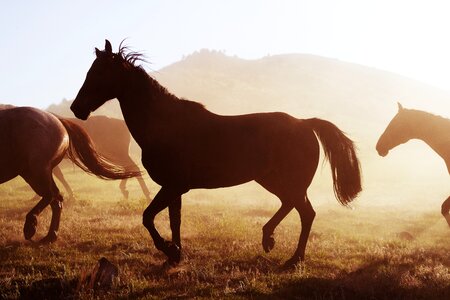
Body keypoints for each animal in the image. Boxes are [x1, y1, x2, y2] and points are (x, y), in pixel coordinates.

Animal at [0, 105, 141, 244]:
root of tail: (58, 120)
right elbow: (61, 177)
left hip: (36, 170)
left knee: (52, 195)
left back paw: (31, 226)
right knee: (56, 198)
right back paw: (50, 235)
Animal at [71, 39, 366, 268]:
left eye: (100, 73)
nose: (76, 108)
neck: (165, 125)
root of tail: (305, 123)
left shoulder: (174, 185)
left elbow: (148, 217)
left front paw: (169, 250)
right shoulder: (175, 188)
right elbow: (174, 221)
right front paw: (175, 255)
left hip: (289, 182)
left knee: (306, 213)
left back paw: (290, 256)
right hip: (272, 180)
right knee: (293, 207)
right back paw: (270, 239)